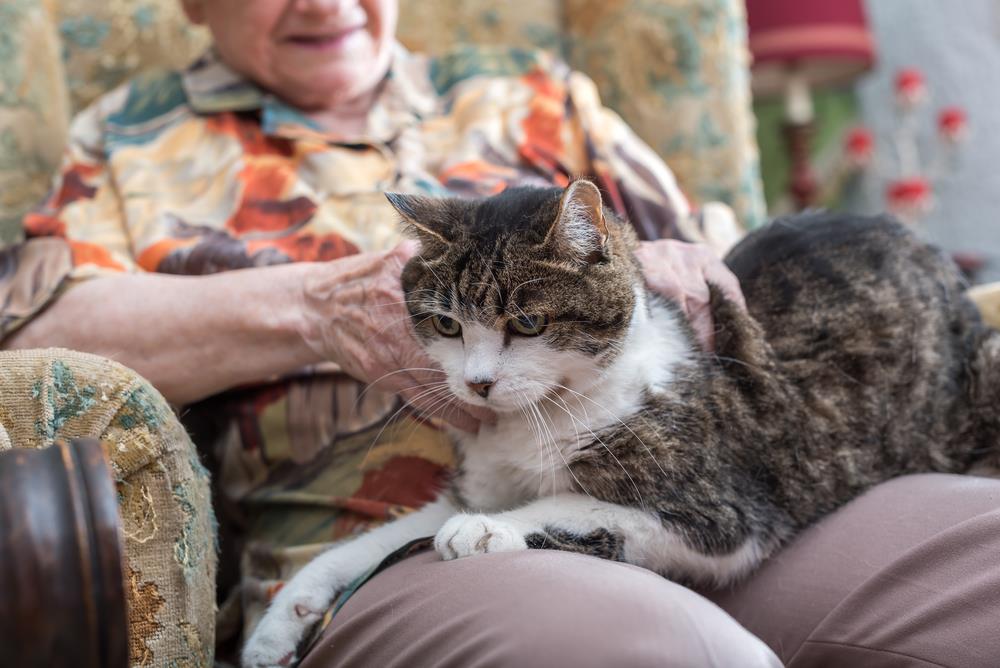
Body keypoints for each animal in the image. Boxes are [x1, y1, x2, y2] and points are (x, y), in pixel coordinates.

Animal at [244, 179, 1000, 668]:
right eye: (447, 324)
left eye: (529, 322)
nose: (477, 383)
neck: (534, 421)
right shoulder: (475, 479)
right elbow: (371, 543)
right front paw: (282, 620)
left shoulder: (722, 514)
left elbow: (573, 505)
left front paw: (484, 531)